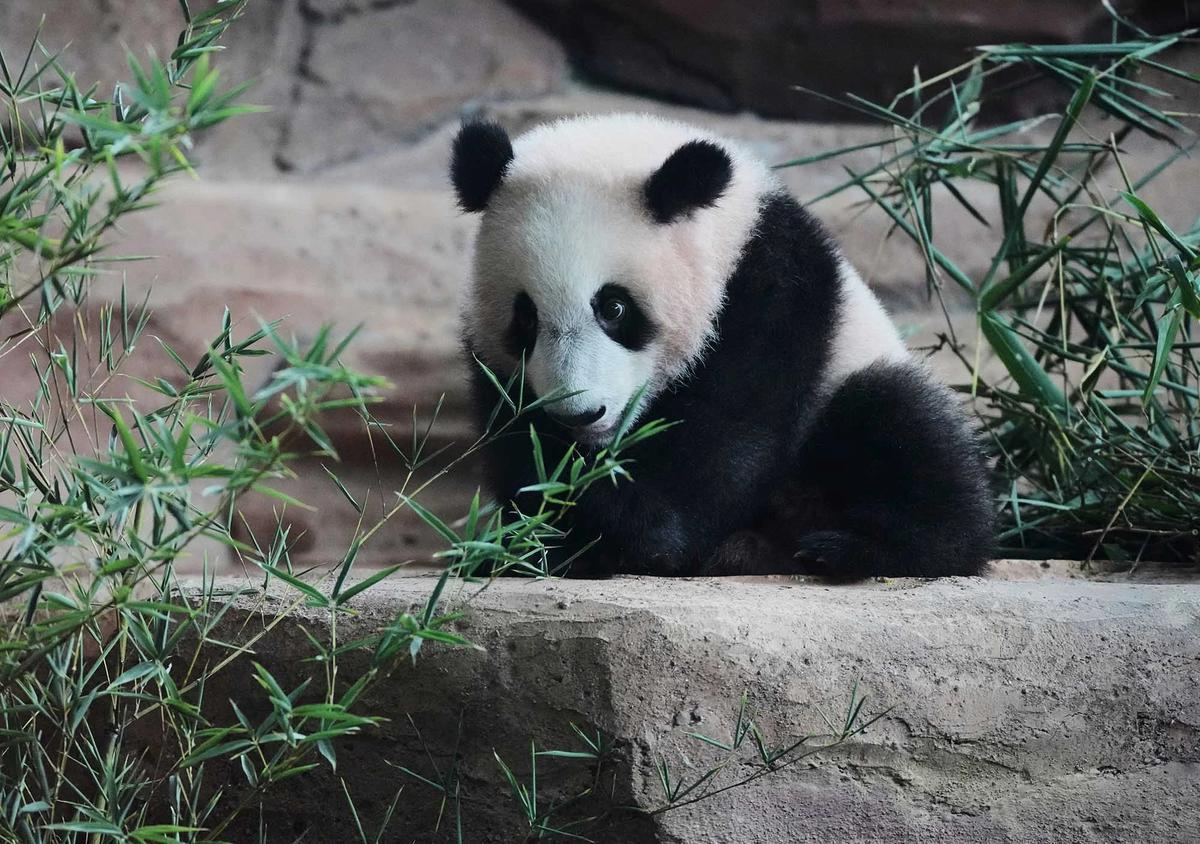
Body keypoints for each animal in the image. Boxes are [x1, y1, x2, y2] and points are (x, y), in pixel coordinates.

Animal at [450, 113, 994, 578]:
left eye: (614, 308)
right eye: (526, 317)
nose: (581, 415)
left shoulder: (771, 291)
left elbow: (727, 441)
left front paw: (623, 525)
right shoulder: (492, 360)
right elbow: (515, 440)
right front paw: (538, 534)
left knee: (902, 424)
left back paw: (847, 549)